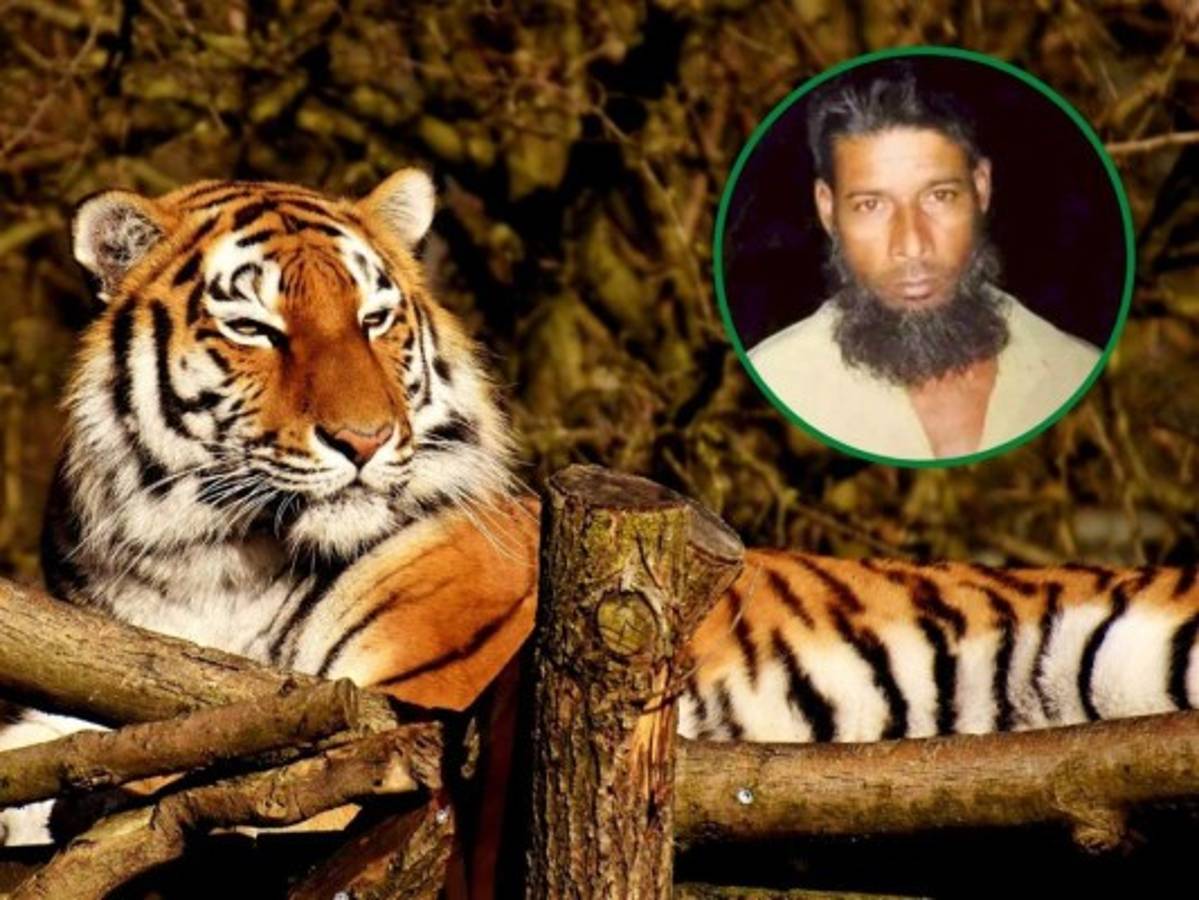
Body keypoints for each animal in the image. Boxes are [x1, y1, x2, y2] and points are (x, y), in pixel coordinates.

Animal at [2, 169, 1197, 856]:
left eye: (376, 319)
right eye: (256, 329)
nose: (365, 440)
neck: (217, 556)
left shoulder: (407, 716)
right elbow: (53, 748)